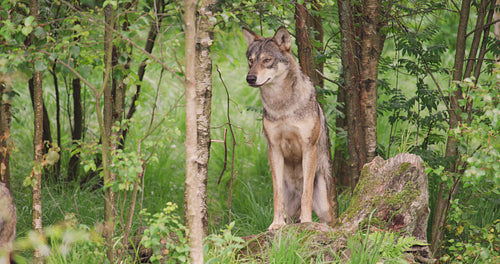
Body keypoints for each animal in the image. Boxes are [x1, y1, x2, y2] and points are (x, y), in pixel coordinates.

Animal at [241, 25, 336, 230]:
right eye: (251, 61)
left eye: (267, 60)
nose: (250, 78)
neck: (282, 106)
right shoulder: (274, 148)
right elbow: (277, 196)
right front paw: (275, 224)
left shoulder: (308, 146)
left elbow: (306, 193)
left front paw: (306, 221)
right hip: (291, 208)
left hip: (325, 208)